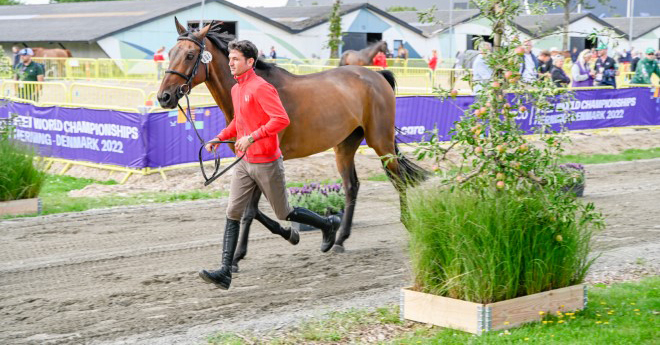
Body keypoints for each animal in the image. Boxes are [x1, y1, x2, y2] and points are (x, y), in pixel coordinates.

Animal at [157, 19, 426, 272]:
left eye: (190, 55)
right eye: (170, 52)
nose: (164, 97)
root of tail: (377, 75)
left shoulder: (263, 161)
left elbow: (250, 211)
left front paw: (235, 258)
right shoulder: (248, 163)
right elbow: (254, 209)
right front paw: (293, 233)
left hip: (380, 142)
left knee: (399, 180)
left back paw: (408, 223)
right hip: (345, 146)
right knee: (352, 186)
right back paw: (339, 240)